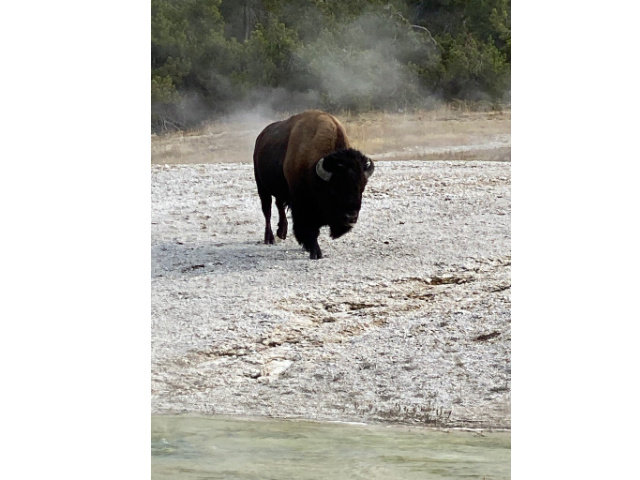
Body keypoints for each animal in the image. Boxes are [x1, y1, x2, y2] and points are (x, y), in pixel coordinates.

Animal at [253, 110, 375, 259]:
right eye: (333, 190)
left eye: (361, 189)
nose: (351, 217)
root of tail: (261, 137)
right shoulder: (302, 205)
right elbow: (310, 229)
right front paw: (316, 252)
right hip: (262, 187)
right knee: (267, 211)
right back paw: (269, 238)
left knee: (279, 206)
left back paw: (282, 233)